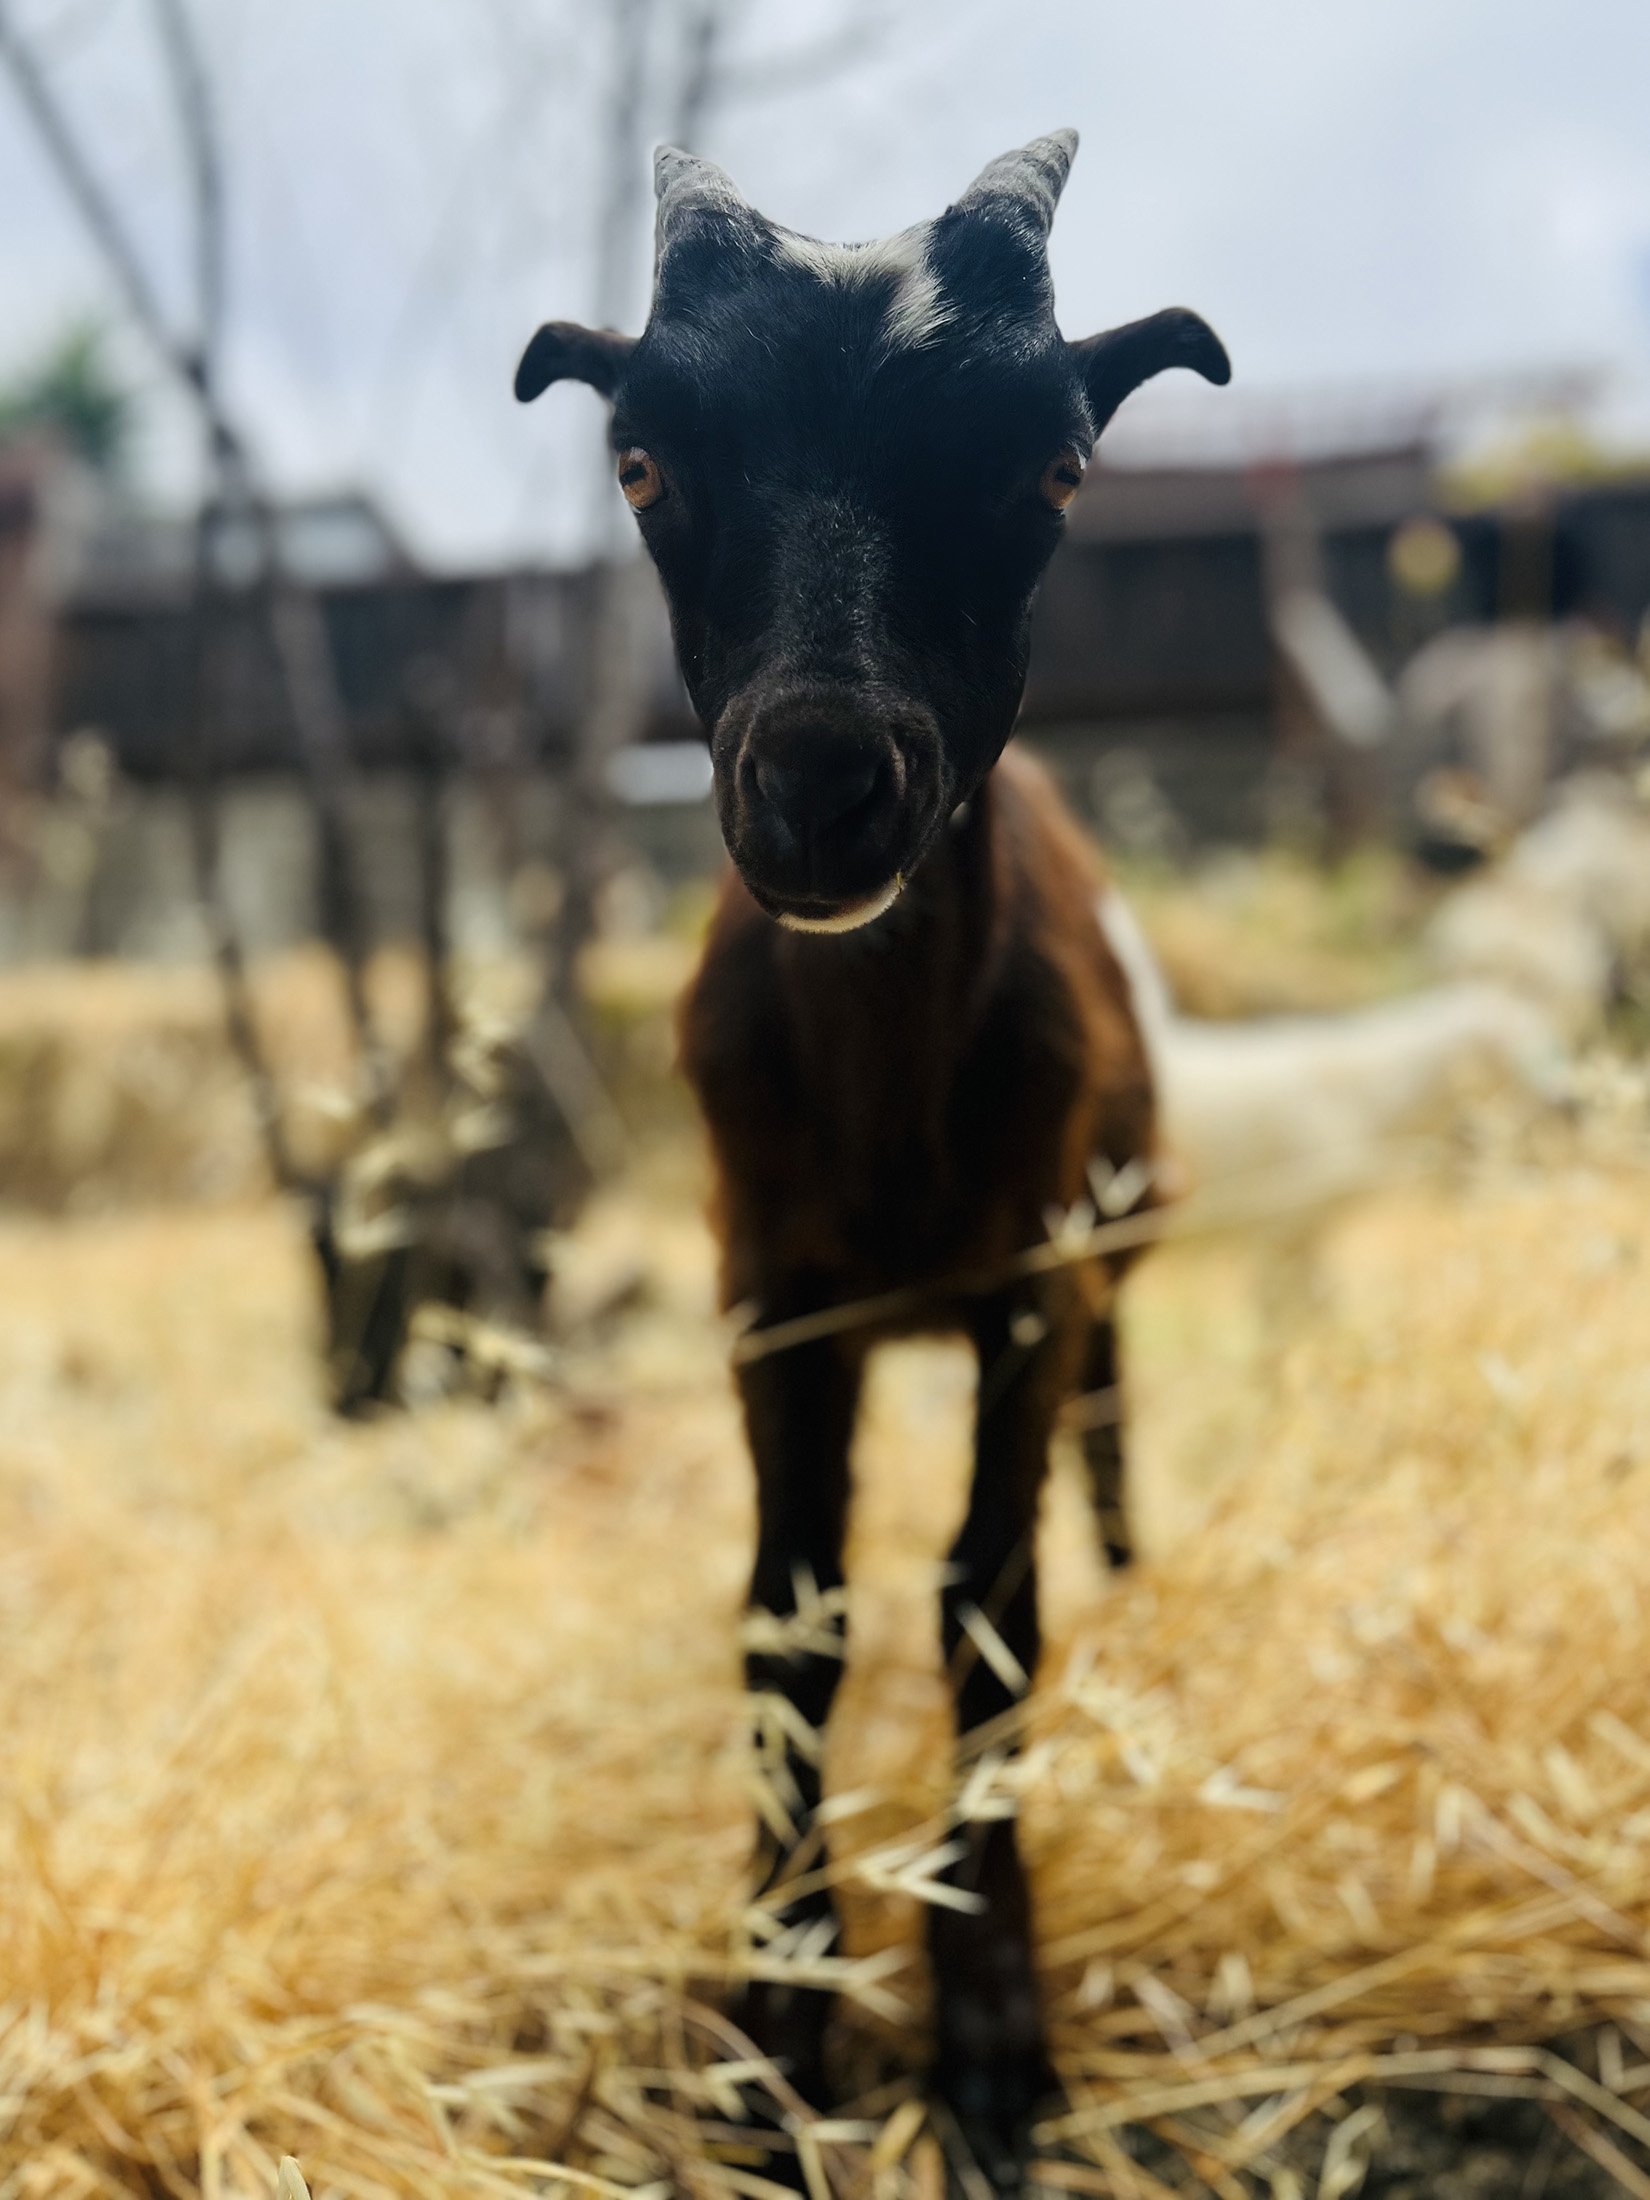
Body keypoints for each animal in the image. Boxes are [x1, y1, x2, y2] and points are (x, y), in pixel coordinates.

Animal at [516, 131, 1229, 2184]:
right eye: (642, 463)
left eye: (1055, 467)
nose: (824, 785)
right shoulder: (775, 1295)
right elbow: (795, 1624)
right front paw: (778, 2033)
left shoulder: (1024, 1287)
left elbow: (988, 1613)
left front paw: (989, 2036)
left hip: (1106, 1269)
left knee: (1106, 1455)